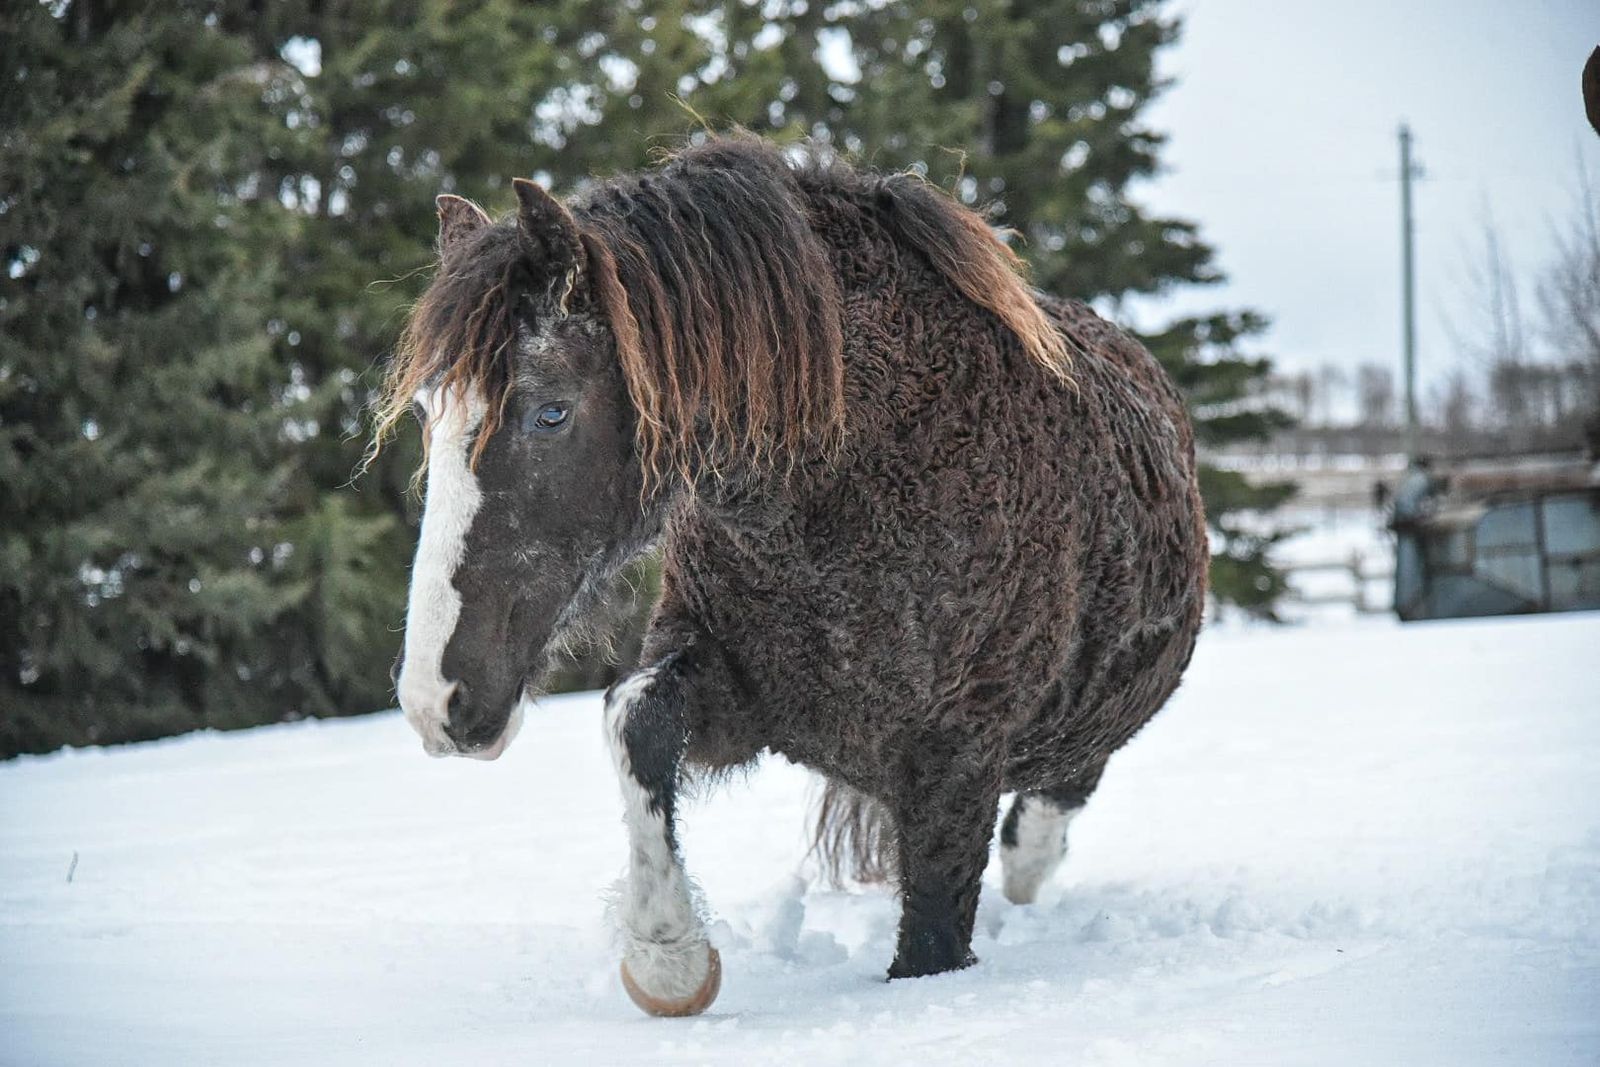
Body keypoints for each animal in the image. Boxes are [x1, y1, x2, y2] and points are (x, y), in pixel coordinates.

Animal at [373, 135, 1208, 1017]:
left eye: (551, 411)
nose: (437, 702)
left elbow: (930, 948)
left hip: (1079, 727)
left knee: (1055, 803)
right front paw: (669, 959)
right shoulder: (738, 691)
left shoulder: (958, 759)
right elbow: (634, 716)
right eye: (427, 412)